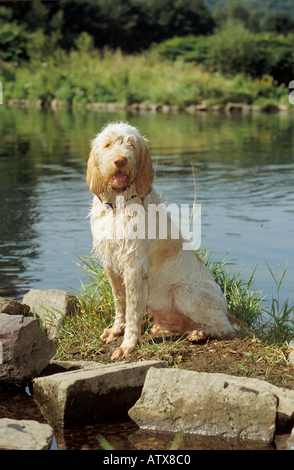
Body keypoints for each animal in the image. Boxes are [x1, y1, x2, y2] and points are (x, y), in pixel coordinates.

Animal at [85, 121, 237, 360]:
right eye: (108, 144)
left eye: (131, 144)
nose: (120, 161)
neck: (119, 204)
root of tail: (227, 310)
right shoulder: (110, 264)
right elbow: (120, 302)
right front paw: (117, 330)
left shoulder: (134, 267)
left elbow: (132, 309)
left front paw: (128, 344)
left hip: (182, 291)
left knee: (225, 328)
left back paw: (201, 333)